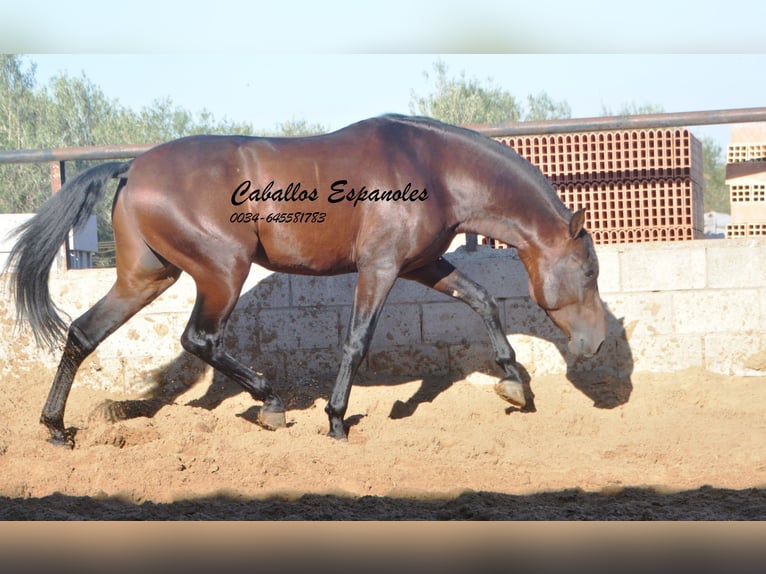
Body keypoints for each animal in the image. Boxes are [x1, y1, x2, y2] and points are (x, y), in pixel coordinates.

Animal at [6, 115, 608, 448]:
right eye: (589, 271)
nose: (597, 343)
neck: (434, 168)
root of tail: (131, 168)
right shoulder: (380, 268)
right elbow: (357, 340)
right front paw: (337, 421)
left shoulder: (421, 265)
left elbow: (483, 299)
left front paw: (515, 384)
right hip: (223, 271)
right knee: (199, 339)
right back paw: (271, 404)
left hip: (147, 276)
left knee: (84, 333)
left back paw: (56, 429)